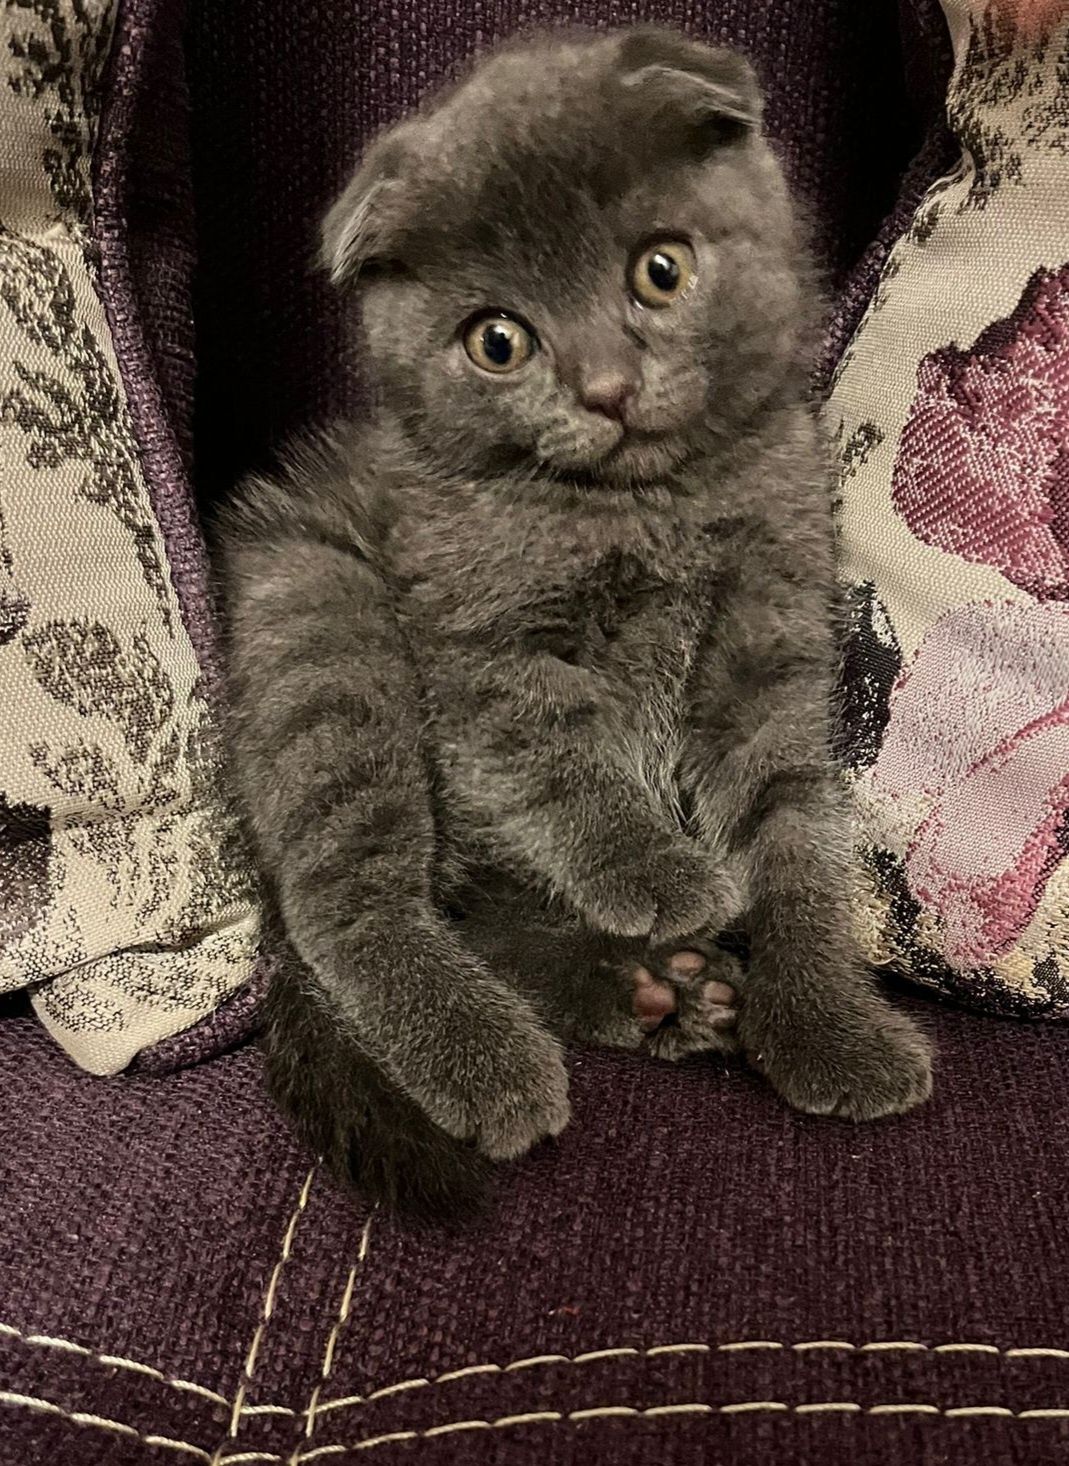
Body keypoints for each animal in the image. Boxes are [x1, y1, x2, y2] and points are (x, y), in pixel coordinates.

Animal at [221, 28, 932, 1219]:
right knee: (350, 899)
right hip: (323, 630)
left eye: (661, 269)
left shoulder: (772, 637)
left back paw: (657, 990)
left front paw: (827, 1024)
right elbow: (559, 765)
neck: (646, 507)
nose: (604, 388)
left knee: (479, 911)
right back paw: (491, 1056)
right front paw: (663, 876)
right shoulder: (481, 647)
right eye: (497, 341)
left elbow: (795, 831)